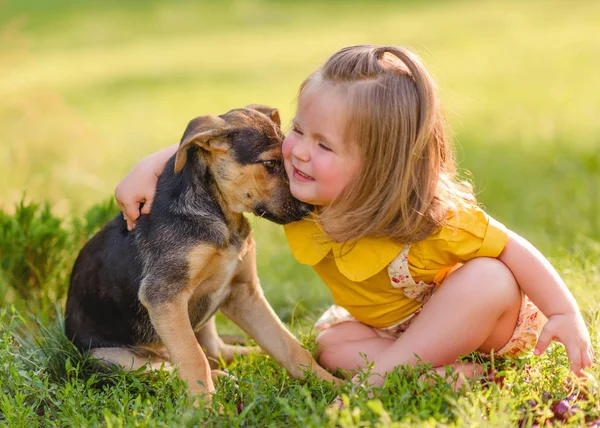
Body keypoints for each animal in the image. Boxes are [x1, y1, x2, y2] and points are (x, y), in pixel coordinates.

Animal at [67, 104, 338, 402]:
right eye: (270, 164)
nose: (310, 209)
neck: (220, 215)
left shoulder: (244, 292)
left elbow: (288, 345)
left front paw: (334, 383)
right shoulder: (164, 296)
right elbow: (192, 359)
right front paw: (206, 408)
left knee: (216, 352)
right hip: (107, 357)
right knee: (169, 367)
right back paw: (220, 378)